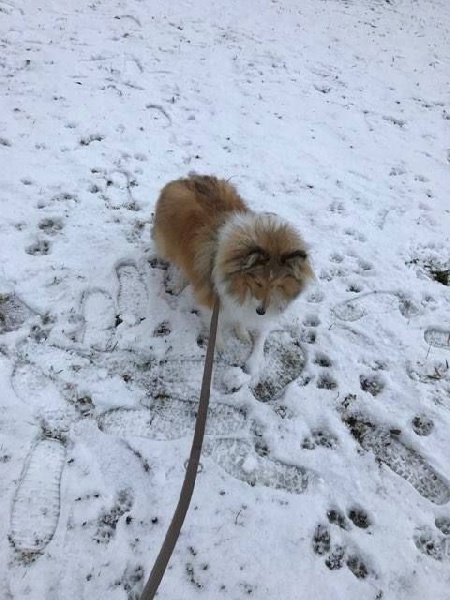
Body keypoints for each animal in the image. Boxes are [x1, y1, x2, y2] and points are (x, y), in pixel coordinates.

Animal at [151, 173, 312, 370]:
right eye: (258, 282)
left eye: (276, 285)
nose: (261, 312)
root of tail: (186, 178)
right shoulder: (213, 296)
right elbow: (217, 325)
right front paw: (220, 346)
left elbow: (240, 317)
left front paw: (242, 333)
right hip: (174, 245)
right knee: (182, 265)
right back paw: (177, 284)